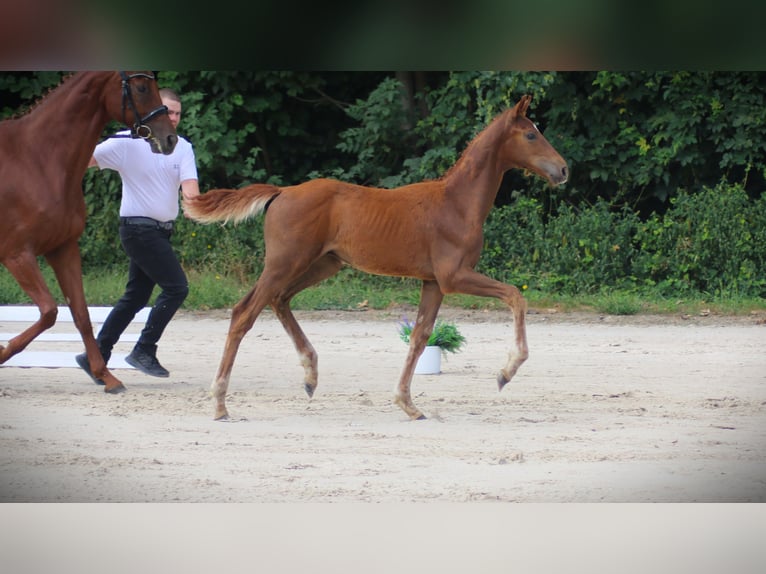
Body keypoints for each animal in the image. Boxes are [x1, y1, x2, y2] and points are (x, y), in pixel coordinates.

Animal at [0, 72, 178, 394]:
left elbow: (81, 314)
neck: (38, 159)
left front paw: (105, 376)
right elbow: (49, 311)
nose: (169, 139)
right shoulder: (17, 254)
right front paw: (2, 352)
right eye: (141, 88)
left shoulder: (63, 248)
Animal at [184, 94, 568, 420]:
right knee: (244, 313)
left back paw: (310, 375)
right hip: (285, 263)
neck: (457, 203)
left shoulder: (433, 282)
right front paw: (506, 371)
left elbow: (421, 336)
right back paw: (220, 403)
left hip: (322, 264)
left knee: (278, 300)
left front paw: (408, 404)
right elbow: (515, 295)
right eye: (531, 134)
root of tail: (282, 192)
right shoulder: (454, 276)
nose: (563, 170)